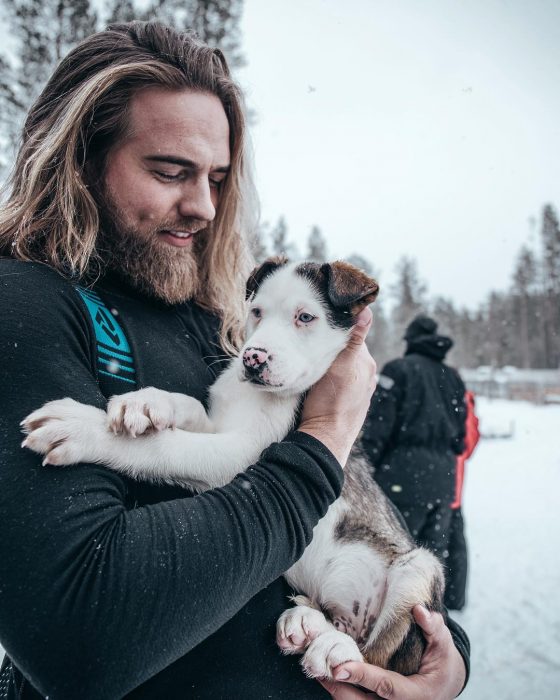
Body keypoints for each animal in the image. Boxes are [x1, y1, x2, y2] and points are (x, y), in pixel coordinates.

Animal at [23, 258, 446, 680]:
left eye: (305, 317)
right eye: (256, 312)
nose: (253, 358)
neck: (256, 396)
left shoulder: (243, 455)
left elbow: (168, 446)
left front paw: (81, 427)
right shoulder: (221, 426)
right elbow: (189, 405)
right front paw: (147, 402)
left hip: (420, 569)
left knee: (381, 658)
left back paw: (336, 648)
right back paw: (307, 623)